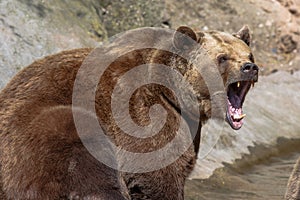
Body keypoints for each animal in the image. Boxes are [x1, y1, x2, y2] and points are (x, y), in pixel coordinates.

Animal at [0, 25, 258, 199]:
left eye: (248, 54)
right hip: (41, 131)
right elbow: (157, 173)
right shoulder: (144, 113)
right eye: (222, 58)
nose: (250, 67)